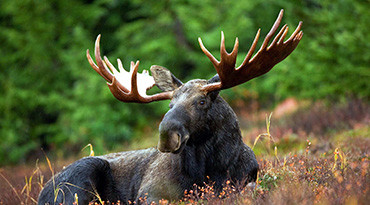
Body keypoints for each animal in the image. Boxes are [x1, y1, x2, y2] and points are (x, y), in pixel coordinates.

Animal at [38, 10, 304, 205]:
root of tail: (42, 192)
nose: (166, 135)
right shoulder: (149, 193)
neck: (211, 170)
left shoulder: (247, 179)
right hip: (81, 175)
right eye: (170, 103)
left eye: (202, 101)